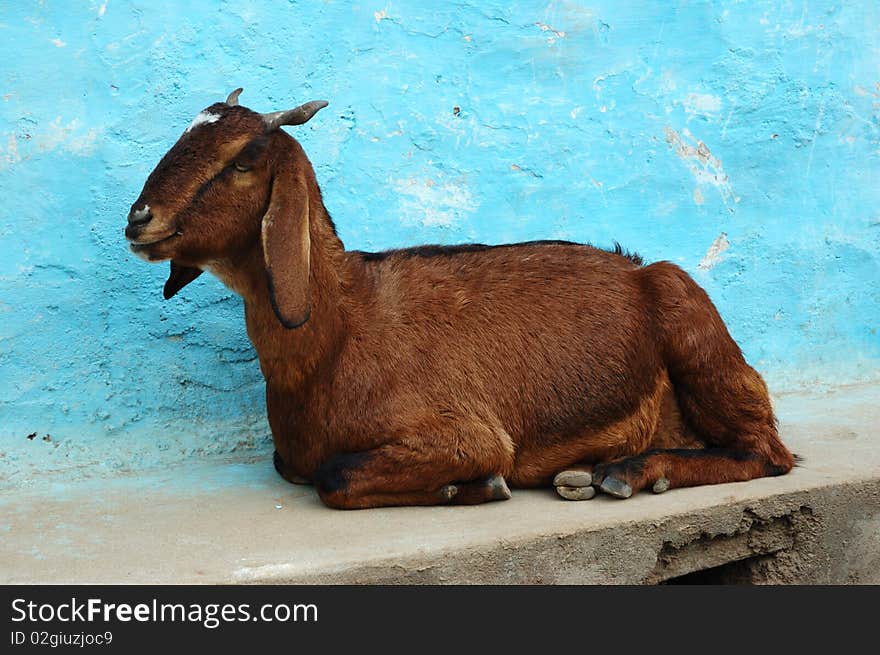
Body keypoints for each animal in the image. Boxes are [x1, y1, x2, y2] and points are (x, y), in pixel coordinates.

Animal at [125, 88, 796, 508]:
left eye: (244, 158)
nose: (139, 219)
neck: (339, 329)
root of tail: (639, 270)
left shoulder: (466, 432)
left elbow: (333, 476)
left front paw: (475, 487)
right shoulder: (290, 454)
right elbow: (297, 467)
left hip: (698, 335)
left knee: (767, 453)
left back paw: (628, 472)